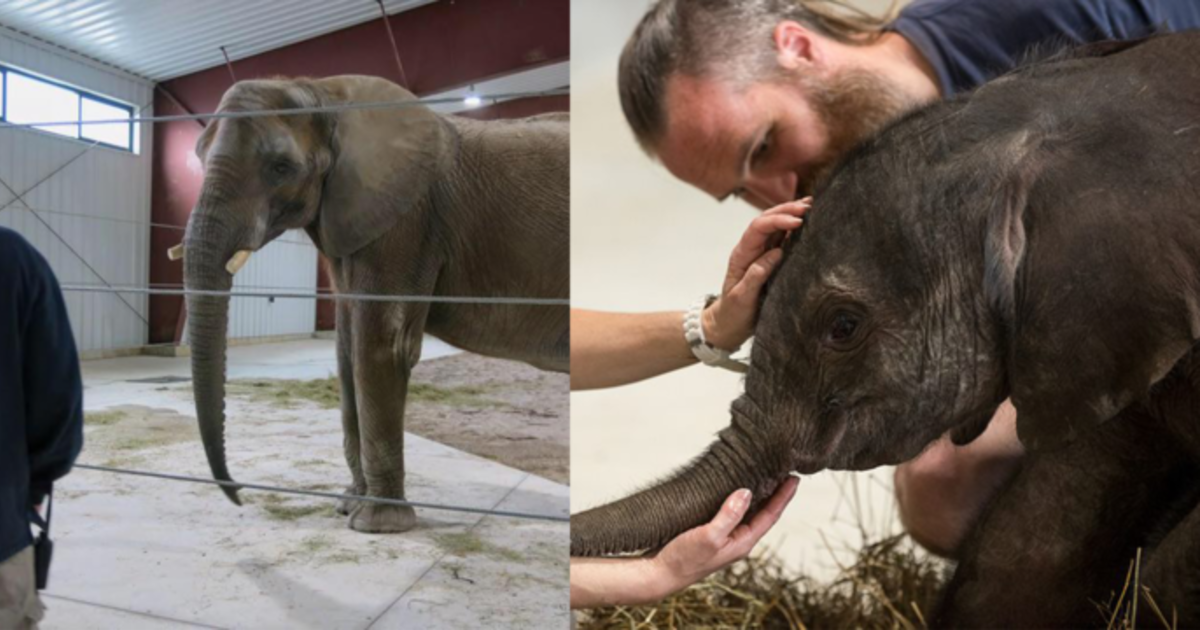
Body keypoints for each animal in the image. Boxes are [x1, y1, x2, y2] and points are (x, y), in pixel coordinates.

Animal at [179, 75, 568, 533]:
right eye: (199, 155)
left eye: (281, 168)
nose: (239, 496)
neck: (323, 92)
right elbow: (347, 351)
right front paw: (349, 505)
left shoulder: (407, 221)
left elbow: (380, 347)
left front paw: (377, 524)